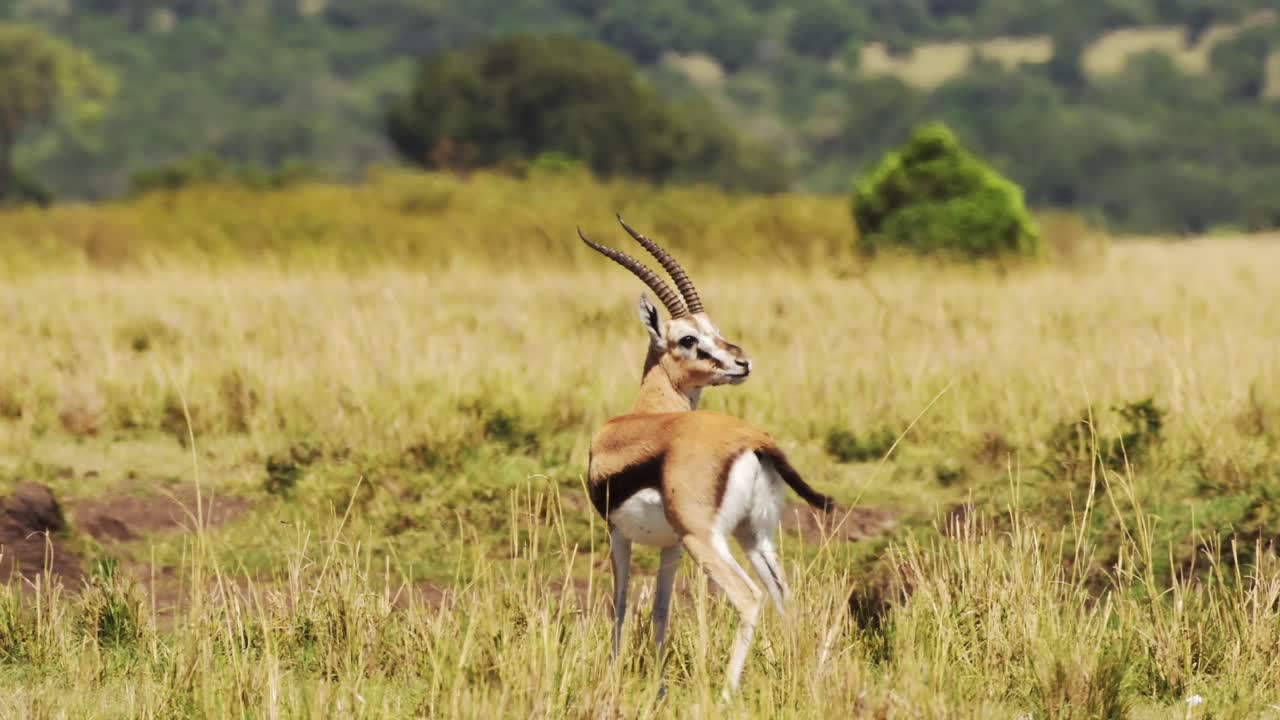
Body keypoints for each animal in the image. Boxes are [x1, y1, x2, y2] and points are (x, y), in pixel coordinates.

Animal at [579, 216, 834, 696]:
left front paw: (615, 679)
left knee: (750, 597)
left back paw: (725, 694)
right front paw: (659, 687)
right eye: (689, 337)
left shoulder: (619, 533)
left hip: (707, 539)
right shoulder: (670, 545)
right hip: (754, 535)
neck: (642, 418)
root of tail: (754, 439)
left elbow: (620, 603)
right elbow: (660, 610)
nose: (741, 362)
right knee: (783, 596)